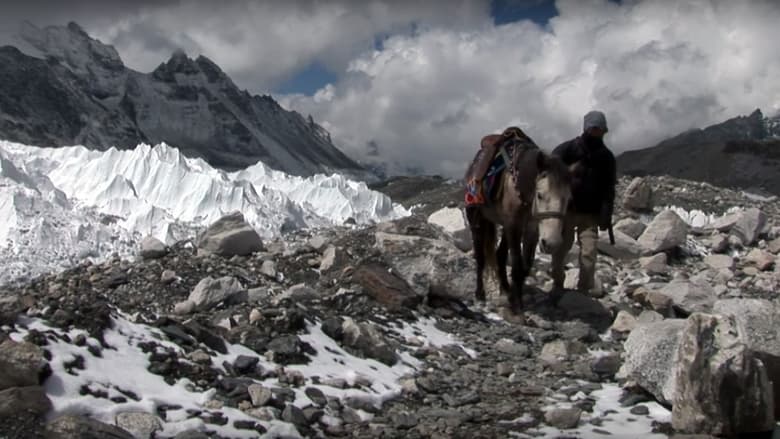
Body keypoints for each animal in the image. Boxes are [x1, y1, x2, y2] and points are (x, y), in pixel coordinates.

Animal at [464, 128, 572, 312]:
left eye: (568, 199)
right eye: (540, 195)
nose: (552, 243)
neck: (520, 185)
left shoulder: (531, 229)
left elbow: (525, 266)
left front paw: (515, 297)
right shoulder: (514, 226)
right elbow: (516, 264)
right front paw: (516, 305)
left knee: (500, 255)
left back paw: (505, 289)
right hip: (477, 220)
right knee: (480, 257)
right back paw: (480, 294)